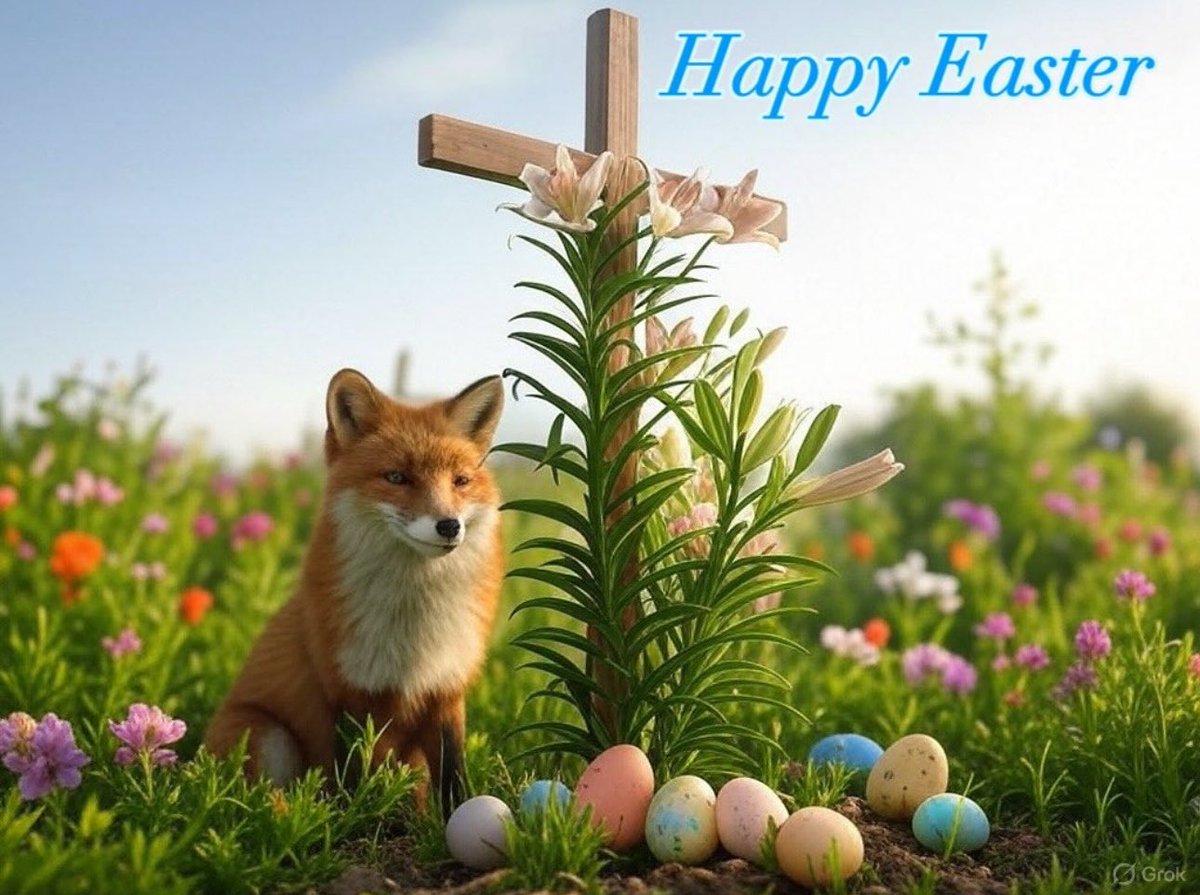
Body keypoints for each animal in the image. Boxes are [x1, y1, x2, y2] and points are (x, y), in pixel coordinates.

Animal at [204, 368, 505, 814]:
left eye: (461, 481)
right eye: (397, 477)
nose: (449, 526)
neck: (412, 626)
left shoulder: (445, 689)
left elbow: (453, 775)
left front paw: (453, 817)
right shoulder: (346, 691)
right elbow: (355, 775)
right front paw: (359, 817)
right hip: (265, 734)